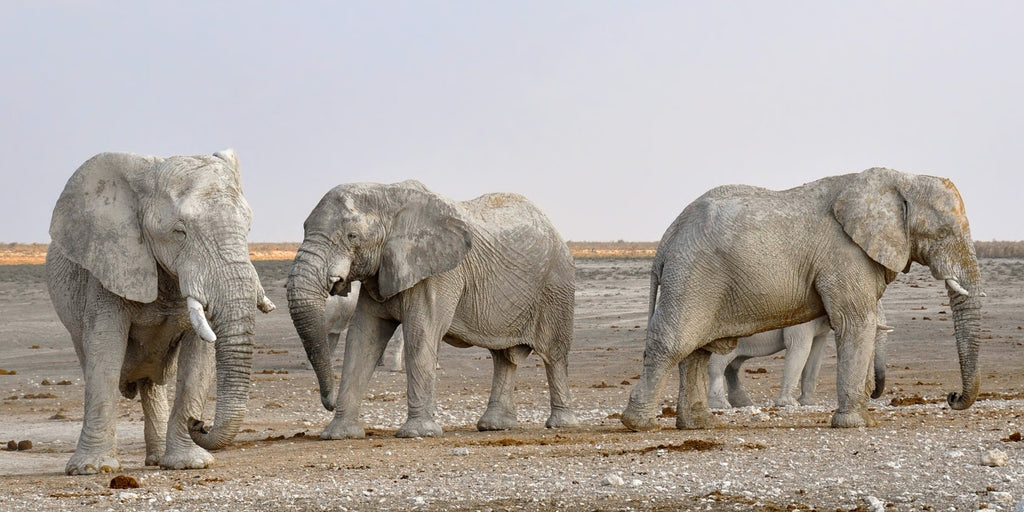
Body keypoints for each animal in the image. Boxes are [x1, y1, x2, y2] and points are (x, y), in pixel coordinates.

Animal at [46, 149, 274, 473]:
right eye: (180, 232)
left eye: (248, 229)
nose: (200, 423)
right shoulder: (109, 265)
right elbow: (105, 352)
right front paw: (92, 469)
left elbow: (198, 360)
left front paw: (190, 464)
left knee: (151, 384)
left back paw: (156, 460)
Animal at [286, 181, 577, 440]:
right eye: (304, 228)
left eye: (352, 236)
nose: (329, 402)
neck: (387, 195)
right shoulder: (381, 272)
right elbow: (363, 337)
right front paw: (339, 434)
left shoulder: (440, 273)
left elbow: (421, 332)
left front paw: (417, 433)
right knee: (504, 358)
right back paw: (494, 426)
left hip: (556, 284)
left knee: (553, 354)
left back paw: (560, 424)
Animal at [708, 305, 892, 409]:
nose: (872, 393)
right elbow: (800, 347)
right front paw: (790, 404)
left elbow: (816, 353)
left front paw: (808, 403)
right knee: (718, 364)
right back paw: (721, 405)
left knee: (732, 366)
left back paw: (743, 403)